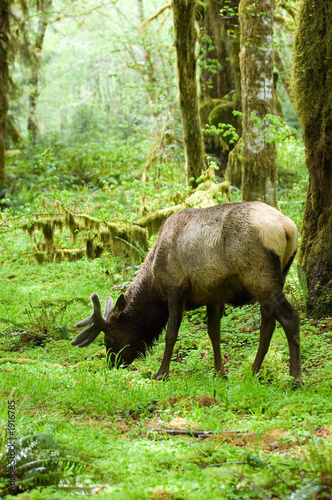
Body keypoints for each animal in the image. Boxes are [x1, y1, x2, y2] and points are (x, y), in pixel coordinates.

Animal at [70, 200, 304, 382]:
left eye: (108, 339)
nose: (113, 364)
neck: (153, 280)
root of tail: (288, 229)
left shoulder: (175, 289)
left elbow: (171, 334)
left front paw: (161, 373)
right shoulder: (214, 295)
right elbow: (214, 333)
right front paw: (220, 372)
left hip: (259, 276)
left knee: (290, 317)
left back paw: (295, 378)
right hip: (277, 277)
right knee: (268, 325)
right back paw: (253, 371)